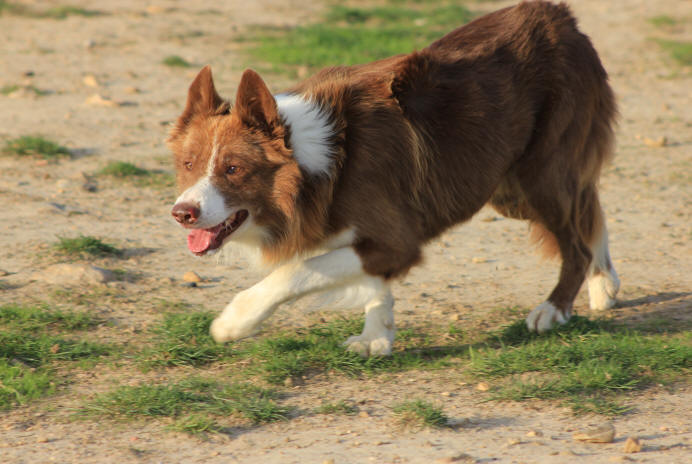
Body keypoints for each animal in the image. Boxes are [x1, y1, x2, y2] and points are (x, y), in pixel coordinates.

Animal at [169, 1, 620, 356]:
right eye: (189, 163)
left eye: (233, 169)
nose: (182, 213)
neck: (323, 164)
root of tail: (558, 14)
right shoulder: (375, 236)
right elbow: (373, 285)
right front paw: (377, 335)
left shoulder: (396, 239)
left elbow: (295, 271)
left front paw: (235, 321)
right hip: (505, 183)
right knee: (589, 205)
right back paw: (604, 283)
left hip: (538, 175)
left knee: (575, 240)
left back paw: (554, 308)